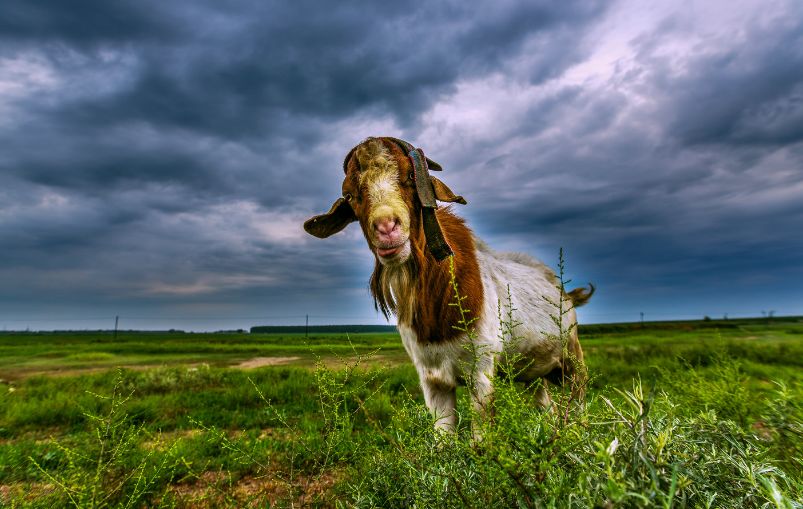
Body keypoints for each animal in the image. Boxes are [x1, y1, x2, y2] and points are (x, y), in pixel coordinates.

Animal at [304, 136, 592, 432]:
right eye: (350, 194)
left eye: (411, 176)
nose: (386, 228)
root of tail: (564, 292)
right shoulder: (432, 380)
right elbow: (443, 438)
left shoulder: (482, 372)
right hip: (532, 372)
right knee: (547, 406)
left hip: (572, 358)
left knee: (578, 398)